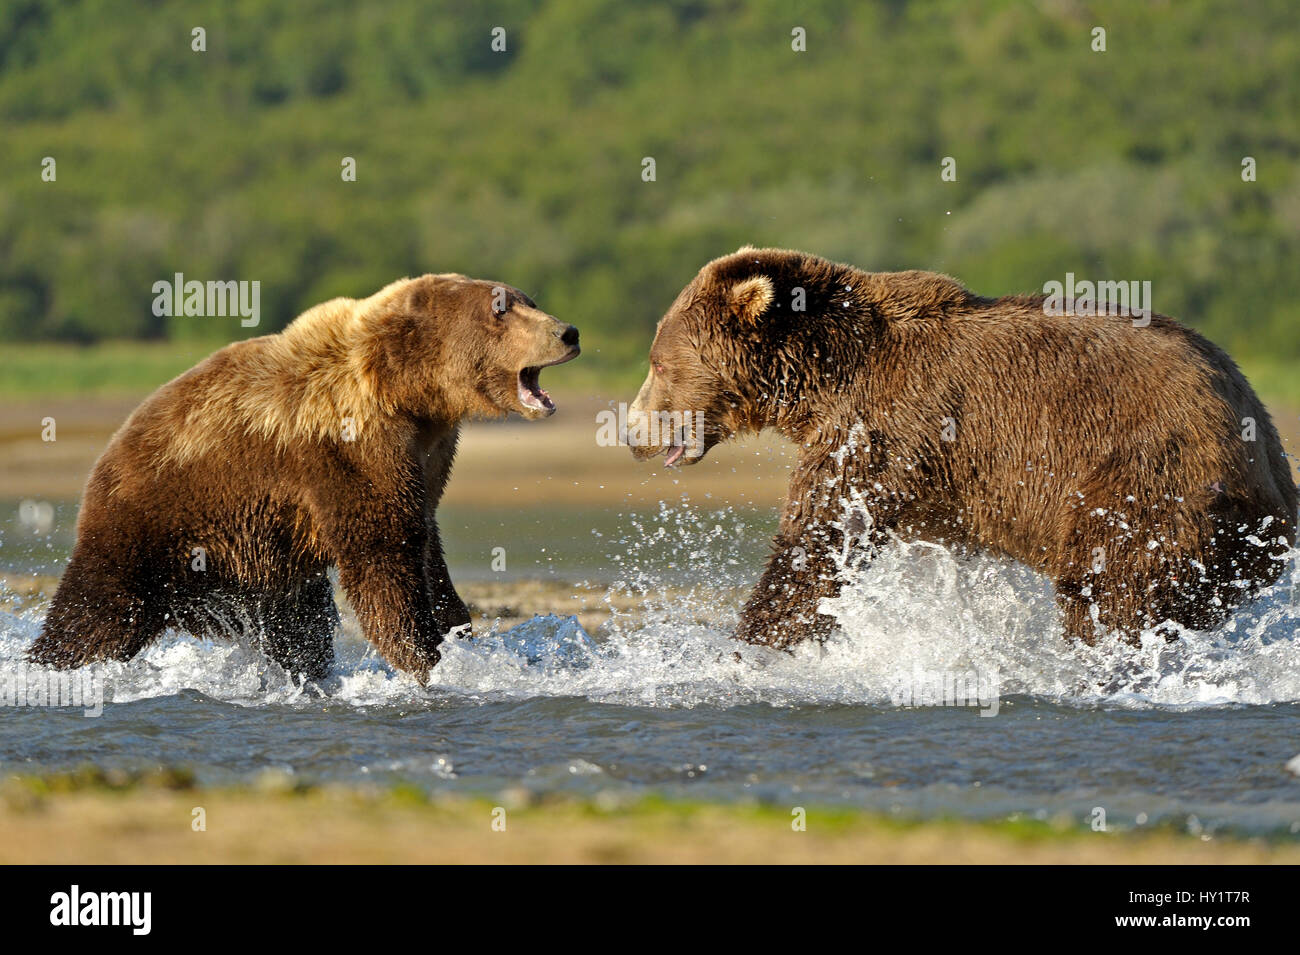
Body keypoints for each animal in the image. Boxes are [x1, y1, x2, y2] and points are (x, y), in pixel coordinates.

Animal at [27, 272, 579, 686]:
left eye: (529, 301)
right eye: (501, 310)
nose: (568, 332)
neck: (411, 395)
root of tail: (110, 450)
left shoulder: (428, 455)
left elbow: (426, 548)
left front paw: (458, 634)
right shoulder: (349, 451)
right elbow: (383, 559)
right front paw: (427, 659)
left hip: (258, 562)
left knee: (297, 628)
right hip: (152, 521)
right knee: (94, 615)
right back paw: (50, 666)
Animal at [626, 246, 1289, 649]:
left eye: (657, 361)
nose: (632, 434)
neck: (828, 372)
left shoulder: (883, 424)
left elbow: (821, 535)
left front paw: (752, 641)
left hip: (1147, 475)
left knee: (1111, 585)